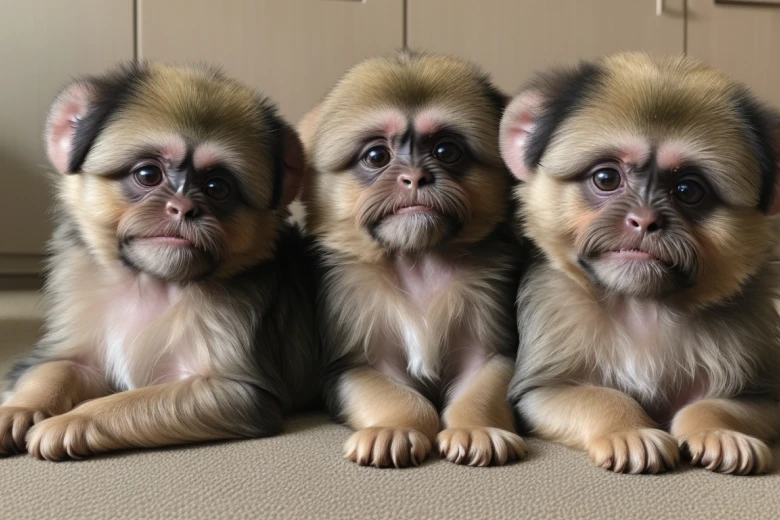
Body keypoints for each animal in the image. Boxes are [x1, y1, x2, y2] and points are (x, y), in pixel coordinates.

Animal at [0, 62, 319, 461]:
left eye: (217, 187)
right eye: (148, 174)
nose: (184, 207)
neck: (152, 282)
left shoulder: (236, 393)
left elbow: (137, 401)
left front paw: (72, 419)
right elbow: (59, 367)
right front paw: (17, 407)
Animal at [300, 50, 528, 468]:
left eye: (446, 151)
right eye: (376, 156)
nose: (415, 176)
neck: (419, 262)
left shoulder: (489, 349)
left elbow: (480, 390)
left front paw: (478, 430)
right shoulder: (356, 362)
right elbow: (398, 398)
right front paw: (392, 430)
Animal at [499, 52, 780, 475]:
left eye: (688, 190)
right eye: (606, 177)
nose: (645, 220)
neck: (643, 308)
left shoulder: (763, 393)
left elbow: (715, 406)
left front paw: (719, 432)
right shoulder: (541, 389)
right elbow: (599, 397)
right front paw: (629, 431)